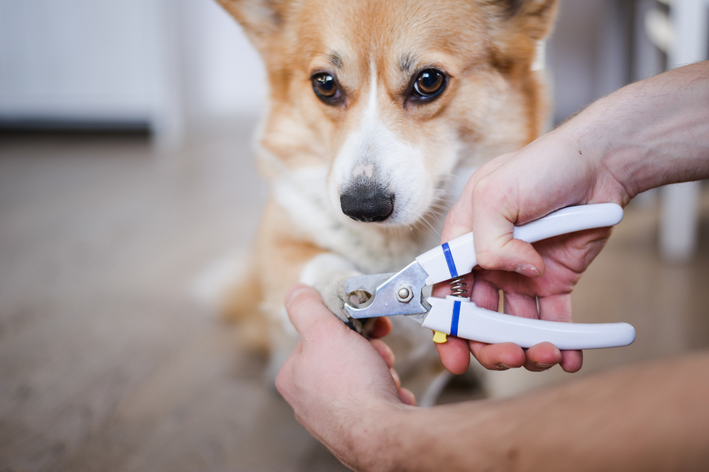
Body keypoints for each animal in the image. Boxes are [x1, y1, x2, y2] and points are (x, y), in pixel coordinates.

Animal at [216, 0, 560, 402]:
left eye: (429, 81)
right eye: (325, 84)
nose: (362, 208)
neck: (395, 244)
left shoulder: (432, 366)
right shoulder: (279, 242)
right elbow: (311, 258)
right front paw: (338, 287)